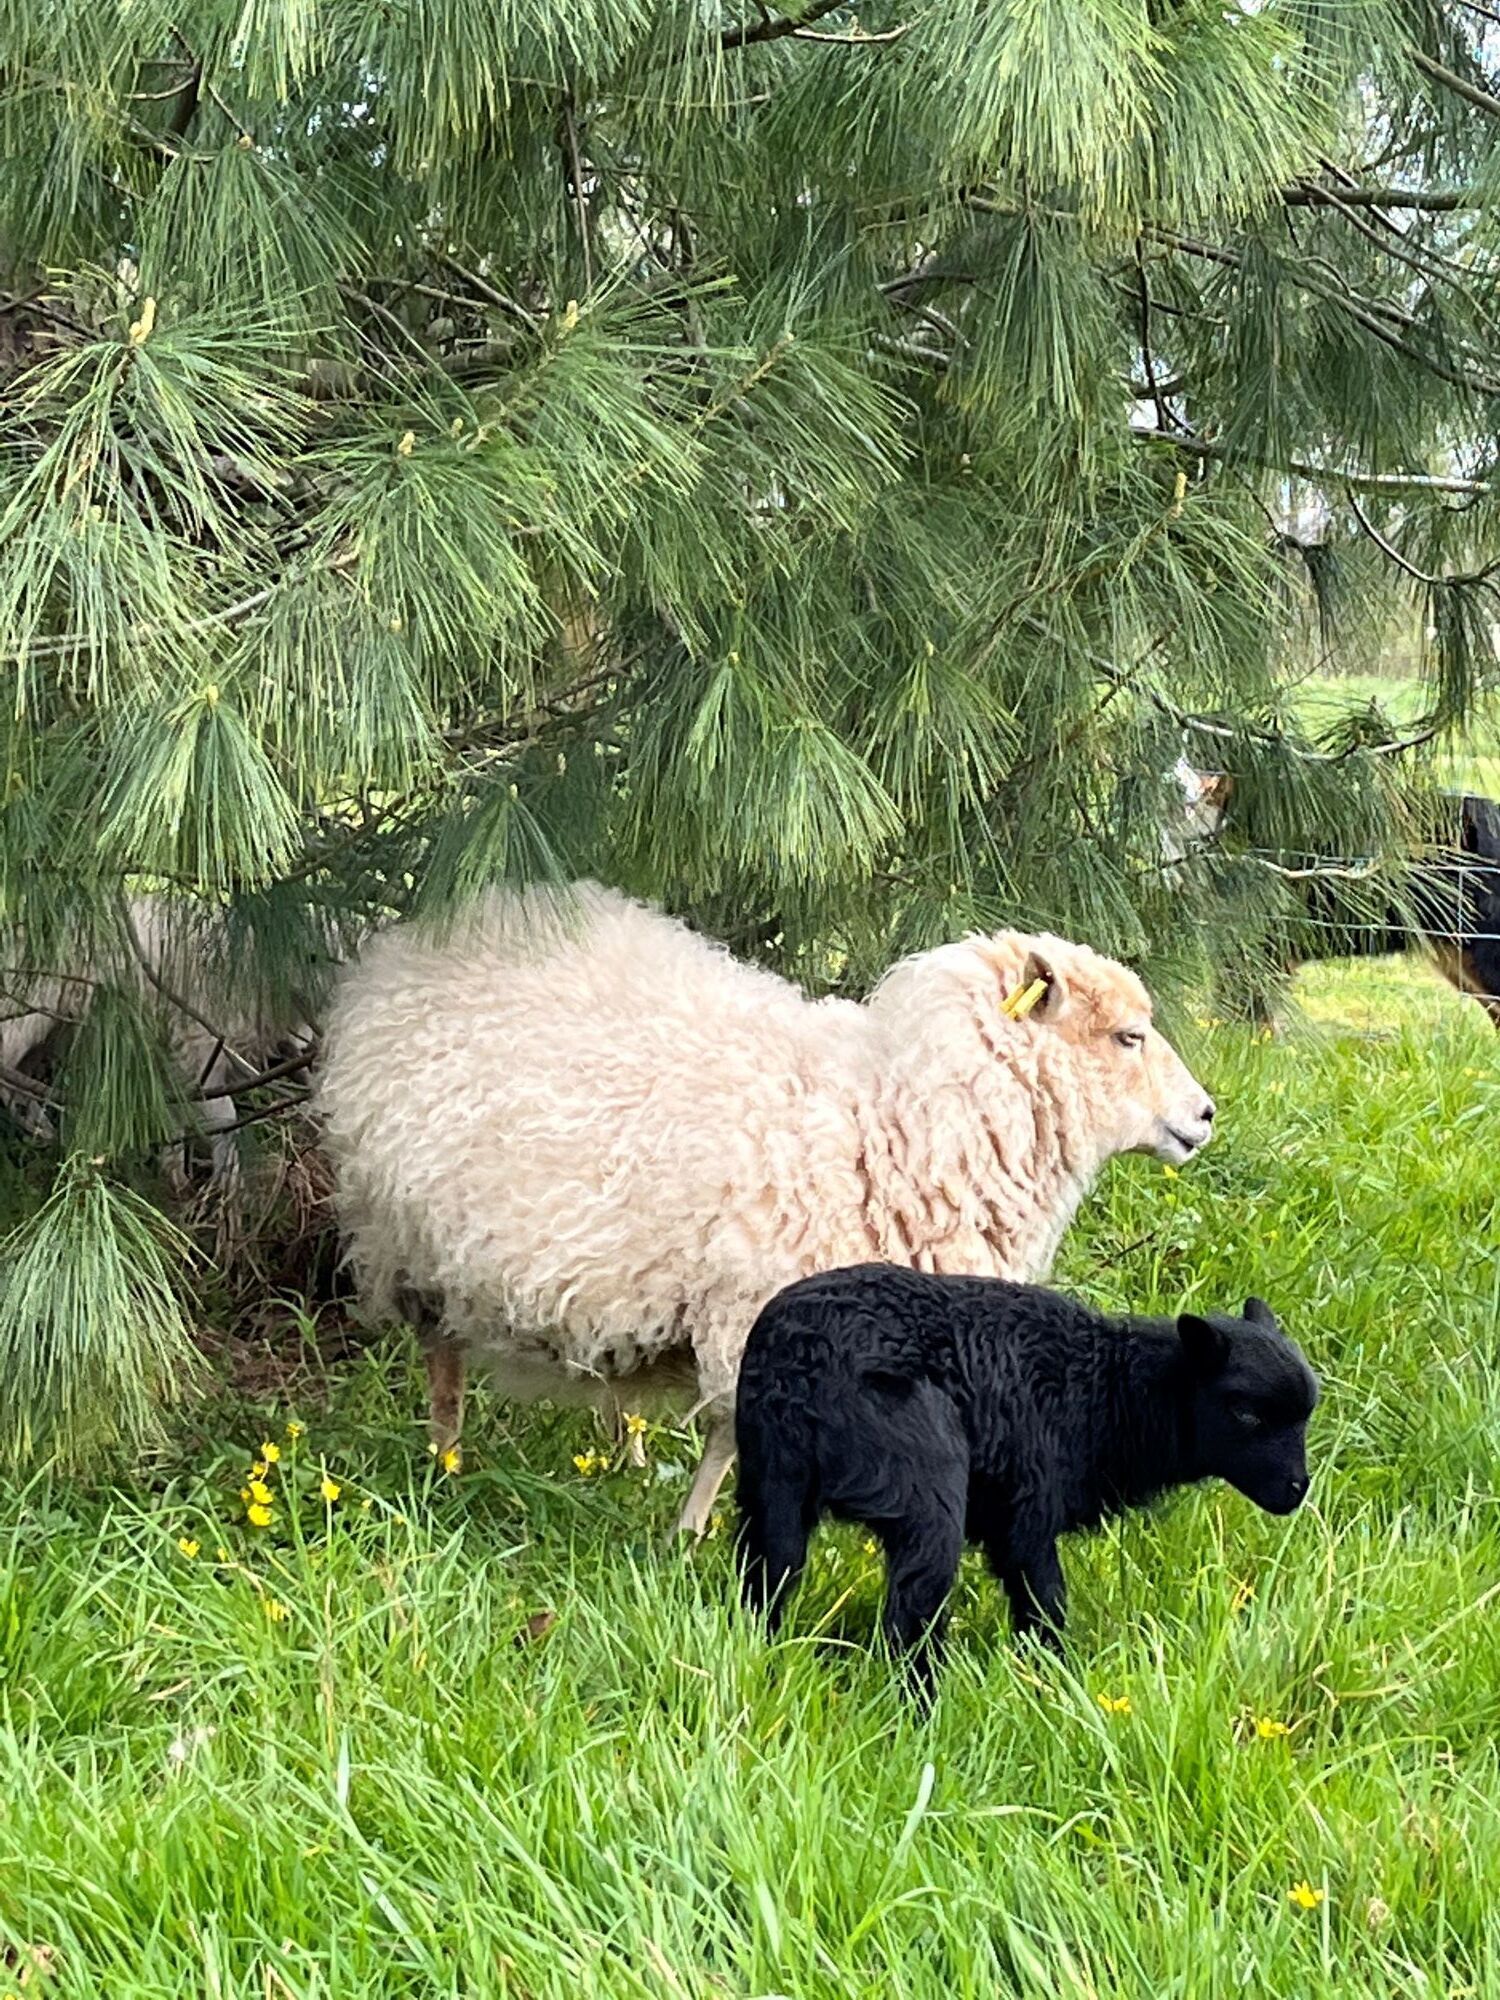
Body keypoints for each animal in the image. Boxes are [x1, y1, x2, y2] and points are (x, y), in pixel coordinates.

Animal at [319, 881, 1218, 1536]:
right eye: (1129, 1037)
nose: (1207, 1115)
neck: (901, 1122)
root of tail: (429, 931)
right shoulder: (761, 1305)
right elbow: (732, 1441)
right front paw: (693, 1540)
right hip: (412, 1235)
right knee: (441, 1358)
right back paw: (444, 1464)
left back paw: (622, 1452)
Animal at [734, 1265, 1318, 1689]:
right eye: (1246, 1413)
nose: (1296, 1490)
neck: (1109, 1395)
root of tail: (804, 1366)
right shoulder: (1027, 1518)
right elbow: (1046, 1607)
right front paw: (1058, 1683)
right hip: (925, 1485)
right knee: (913, 1612)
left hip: (772, 1483)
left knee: (770, 1576)